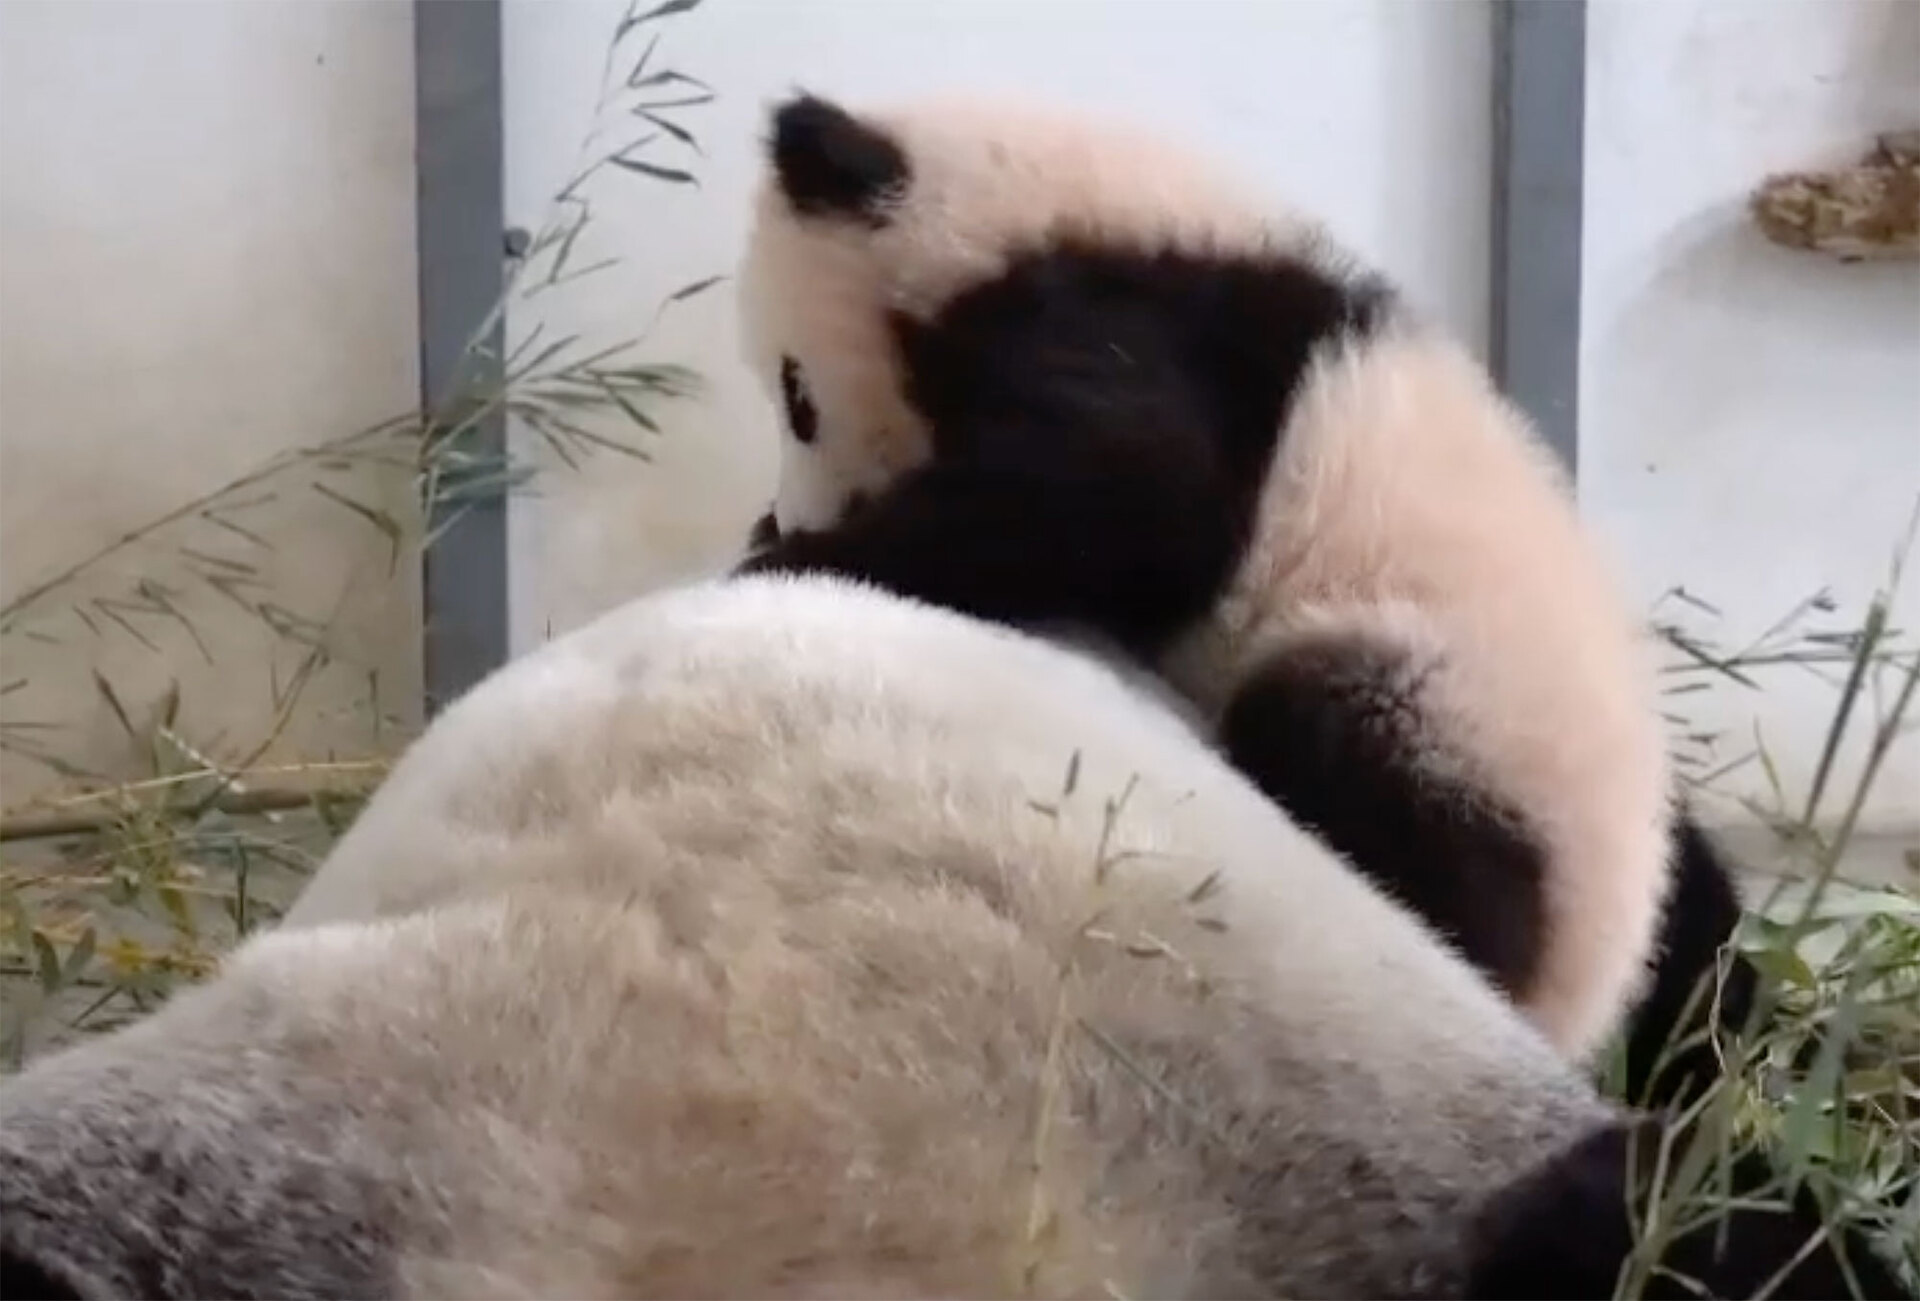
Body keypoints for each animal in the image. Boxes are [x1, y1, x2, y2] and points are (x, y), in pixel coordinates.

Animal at [729, 91, 1758, 1112]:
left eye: (797, 395)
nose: (796, 509)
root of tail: (1591, 986)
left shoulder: (1142, 331)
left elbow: (1132, 496)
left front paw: (795, 557)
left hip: (1464, 717)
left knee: (1357, 764)